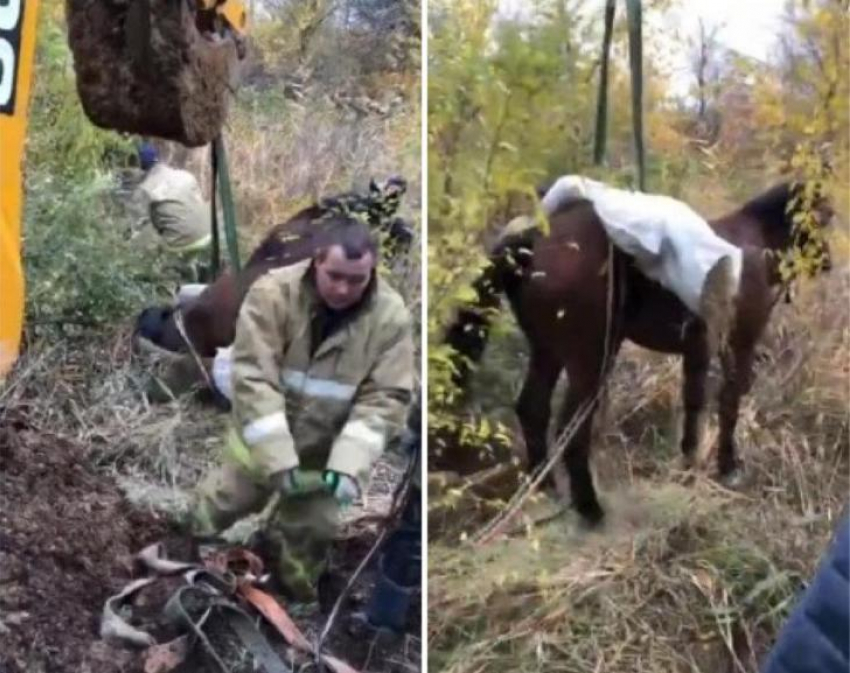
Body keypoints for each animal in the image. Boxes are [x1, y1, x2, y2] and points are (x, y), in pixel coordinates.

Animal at [448, 182, 832, 524]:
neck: (757, 242)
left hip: (548, 351)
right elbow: (728, 405)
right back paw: (589, 508)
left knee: (532, 409)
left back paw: (547, 490)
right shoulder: (739, 346)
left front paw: (688, 466)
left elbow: (694, 405)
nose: (827, 262)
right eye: (825, 216)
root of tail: (531, 239)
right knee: (571, 426)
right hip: (590, 359)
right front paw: (727, 467)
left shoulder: (697, 350)